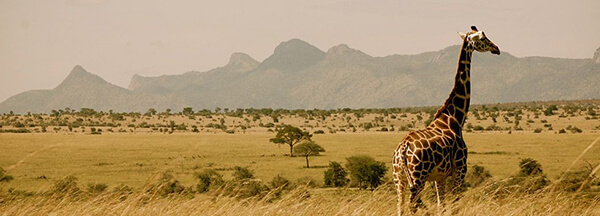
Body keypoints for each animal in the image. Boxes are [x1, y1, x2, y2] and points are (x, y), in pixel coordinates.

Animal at [392, 25, 500, 214]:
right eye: (483, 38)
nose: (497, 48)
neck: (455, 118)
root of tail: (403, 149)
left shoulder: (440, 177)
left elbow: (441, 205)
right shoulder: (460, 170)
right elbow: (454, 204)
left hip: (399, 179)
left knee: (400, 207)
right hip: (418, 177)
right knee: (412, 206)